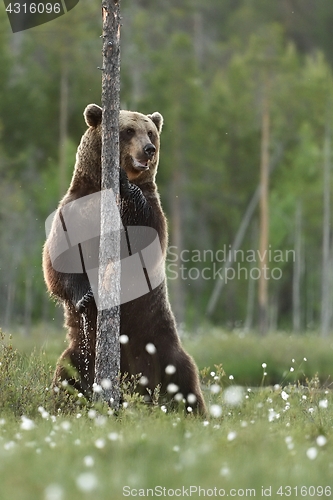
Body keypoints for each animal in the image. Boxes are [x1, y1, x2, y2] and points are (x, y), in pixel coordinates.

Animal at [42, 103, 206, 416]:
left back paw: (191, 411)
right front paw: (84, 296)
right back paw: (63, 406)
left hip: (160, 340)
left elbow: (145, 241)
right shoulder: (75, 211)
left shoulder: (150, 211)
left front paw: (126, 185)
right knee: (66, 376)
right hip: (82, 352)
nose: (149, 149)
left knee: (183, 377)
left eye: (150, 131)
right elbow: (58, 260)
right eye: (129, 130)